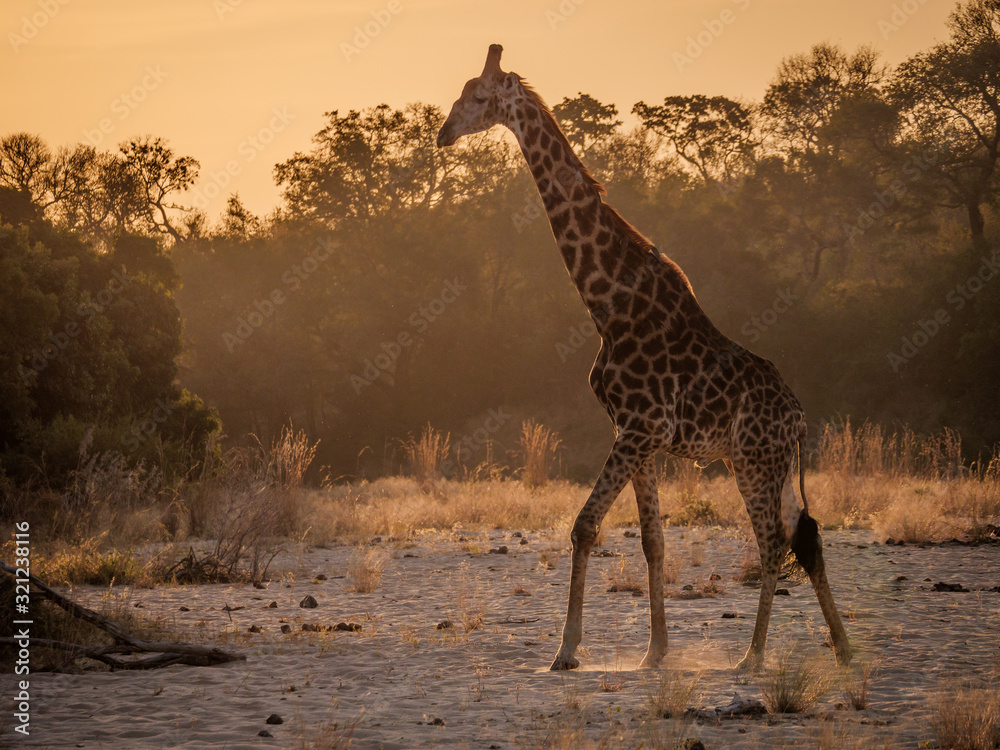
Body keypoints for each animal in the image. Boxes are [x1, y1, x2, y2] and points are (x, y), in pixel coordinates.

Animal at [438, 44, 852, 672]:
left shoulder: (639, 428)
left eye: (479, 97)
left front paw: (566, 650)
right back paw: (844, 649)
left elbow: (585, 525)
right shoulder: (640, 435)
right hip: (766, 461)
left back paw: (752, 657)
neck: (606, 303)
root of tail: (800, 418)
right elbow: (653, 539)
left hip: (755, 460)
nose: (443, 134)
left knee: (773, 541)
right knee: (807, 534)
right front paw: (655, 652)